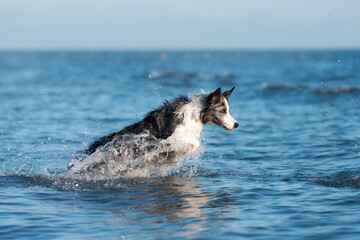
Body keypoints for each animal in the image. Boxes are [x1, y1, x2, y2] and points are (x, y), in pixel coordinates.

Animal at [67, 87, 238, 177]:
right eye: (222, 111)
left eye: (229, 110)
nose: (236, 124)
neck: (197, 115)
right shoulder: (170, 138)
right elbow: (193, 143)